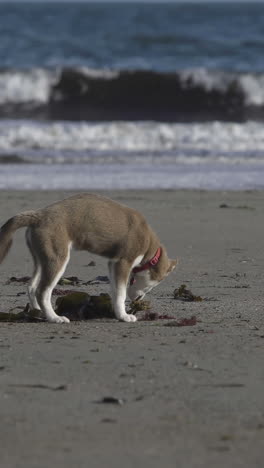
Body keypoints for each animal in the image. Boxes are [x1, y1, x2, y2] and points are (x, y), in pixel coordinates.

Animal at [0, 193, 177, 322]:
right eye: (156, 283)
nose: (138, 301)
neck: (150, 250)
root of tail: (39, 215)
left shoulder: (113, 264)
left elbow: (115, 291)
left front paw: (116, 312)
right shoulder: (123, 262)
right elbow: (121, 293)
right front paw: (124, 316)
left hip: (41, 258)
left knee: (31, 286)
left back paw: (38, 312)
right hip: (57, 258)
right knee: (42, 292)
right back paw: (54, 318)